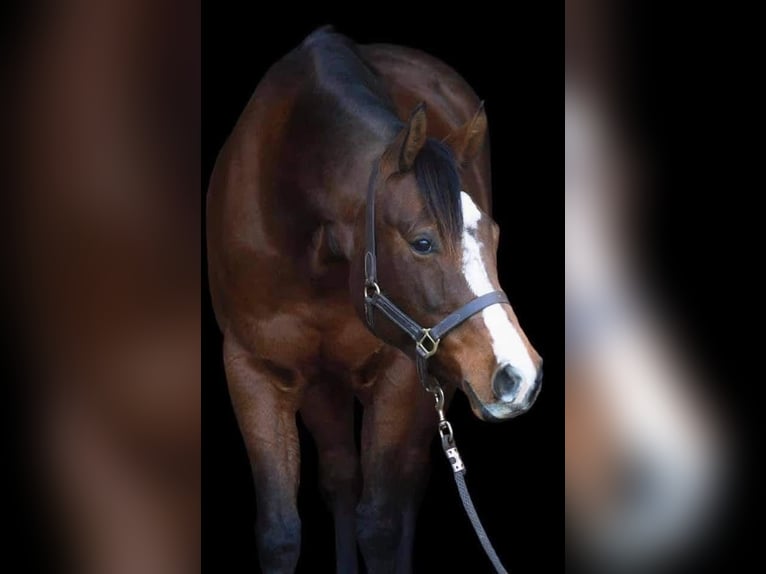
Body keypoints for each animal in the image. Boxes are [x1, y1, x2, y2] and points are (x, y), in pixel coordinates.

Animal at [207, 28, 543, 573]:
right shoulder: (251, 369)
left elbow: (382, 523)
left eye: (493, 235)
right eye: (422, 242)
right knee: (341, 479)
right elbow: (280, 531)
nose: (520, 376)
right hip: (326, 385)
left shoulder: (402, 375)